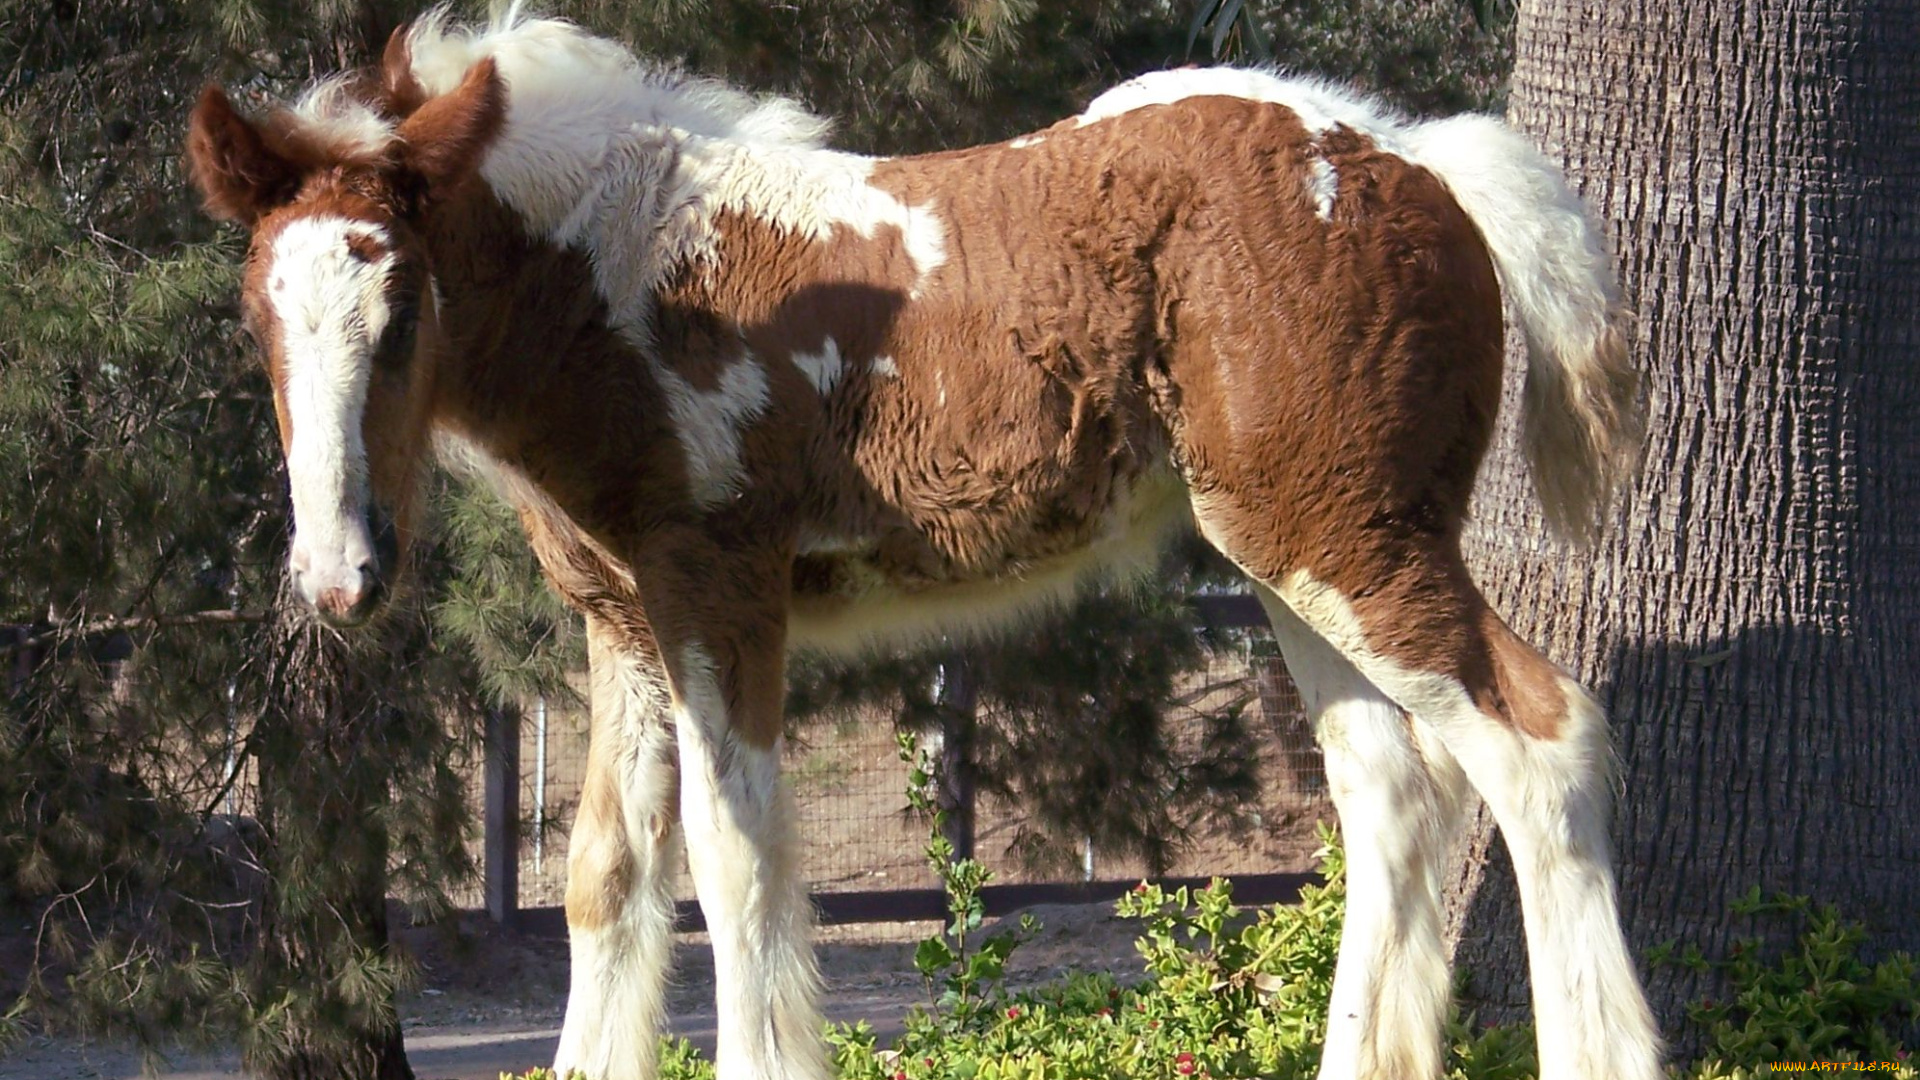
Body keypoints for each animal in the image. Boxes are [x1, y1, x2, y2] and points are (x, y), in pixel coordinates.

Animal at [187, 10, 1666, 1076]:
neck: (621, 273)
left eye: (403, 313)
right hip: (1296, 552)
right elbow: (607, 875)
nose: (337, 576)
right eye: (258, 321)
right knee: (1392, 795)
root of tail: (1417, 163)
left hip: (1347, 539)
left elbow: (734, 863)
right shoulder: (622, 618)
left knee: (1541, 744)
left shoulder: (721, 586)